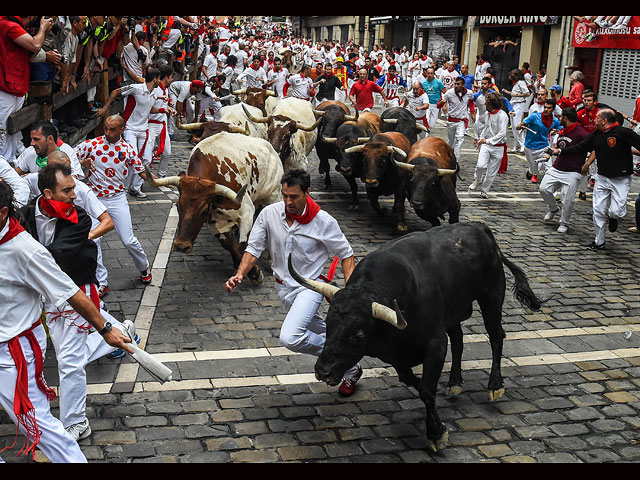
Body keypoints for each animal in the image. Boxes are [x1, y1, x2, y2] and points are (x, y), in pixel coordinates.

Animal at [290, 223, 544, 452]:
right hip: (453, 312)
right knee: (459, 339)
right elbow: (414, 381)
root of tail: (480, 228)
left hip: (492, 294)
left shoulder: (436, 344)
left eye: (358, 335)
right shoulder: (397, 358)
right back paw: (454, 383)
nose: (323, 371)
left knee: (496, 335)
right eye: (328, 325)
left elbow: (426, 390)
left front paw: (437, 434)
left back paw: (494, 385)